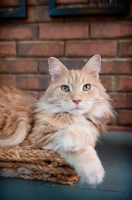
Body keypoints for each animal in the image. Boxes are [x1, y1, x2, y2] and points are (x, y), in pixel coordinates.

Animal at [0, 55, 113, 186]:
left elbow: (88, 132)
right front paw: (93, 170)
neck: (72, 118)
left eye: (86, 87)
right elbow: (67, 140)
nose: (77, 100)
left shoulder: (91, 126)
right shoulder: (37, 137)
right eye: (65, 88)